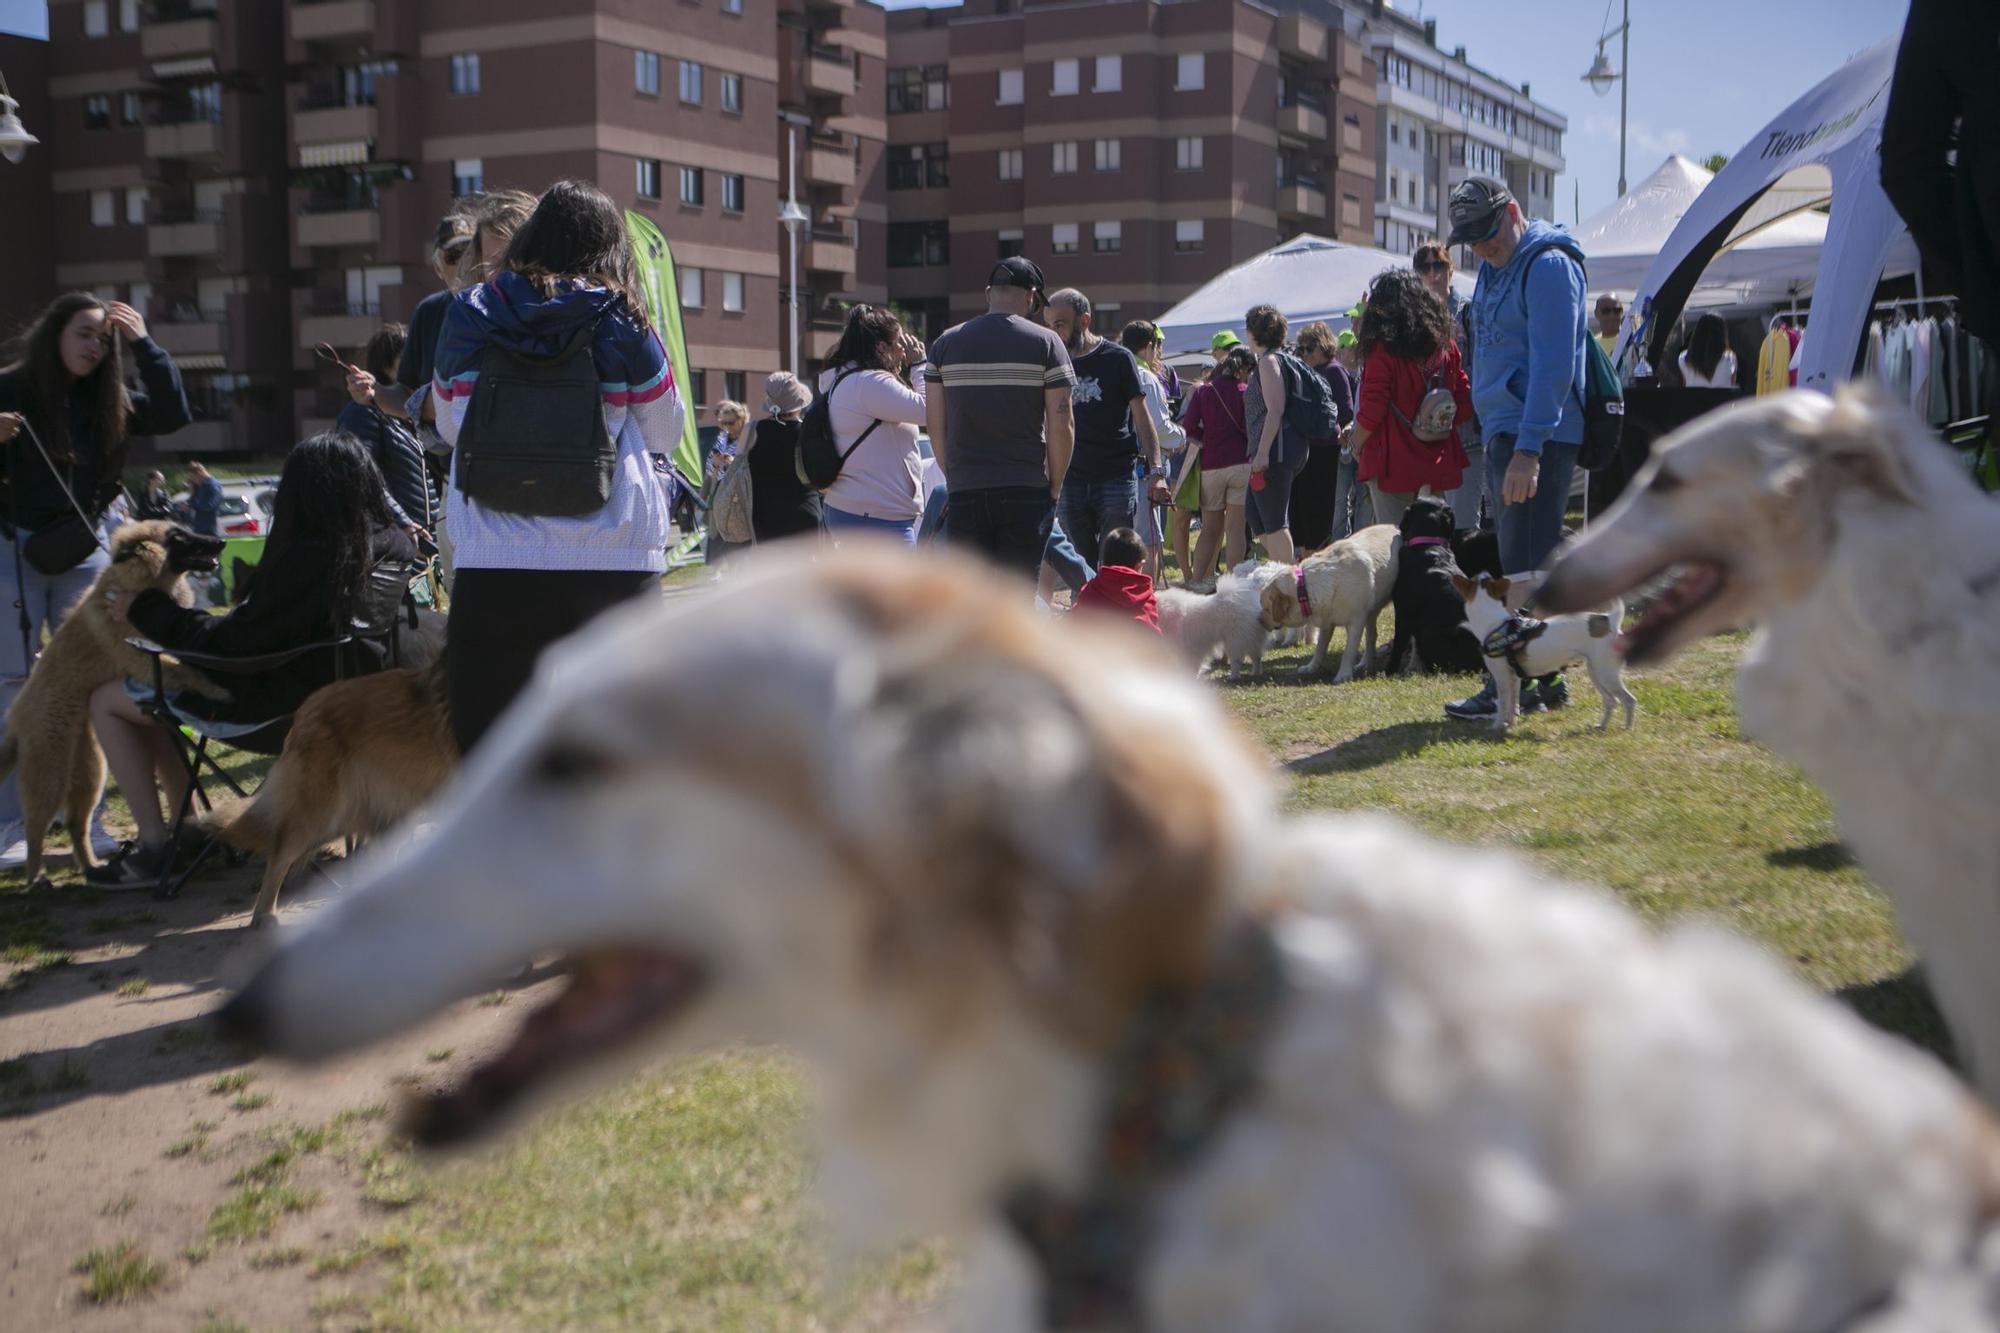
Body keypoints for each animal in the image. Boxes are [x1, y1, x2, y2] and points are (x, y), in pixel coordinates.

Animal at [1256, 520, 1400, 680]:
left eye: (1266, 608)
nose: (1258, 620)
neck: (1305, 588)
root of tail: (1394, 526)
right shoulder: (1327, 622)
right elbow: (1320, 648)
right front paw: (1311, 667)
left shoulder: (1356, 622)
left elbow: (1348, 651)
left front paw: (1343, 674)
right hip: (1371, 612)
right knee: (1372, 636)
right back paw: (1364, 663)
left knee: (1370, 637)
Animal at [1456, 568, 1640, 732]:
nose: (1484, 570)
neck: (1495, 625)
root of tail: (1609, 620)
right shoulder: (1515, 678)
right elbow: (1514, 704)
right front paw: (1511, 724)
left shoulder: (1502, 677)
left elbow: (1503, 704)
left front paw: (1497, 726)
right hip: (1596, 673)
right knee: (1612, 701)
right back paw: (1602, 726)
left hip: (1606, 674)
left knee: (1629, 700)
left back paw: (1627, 727)